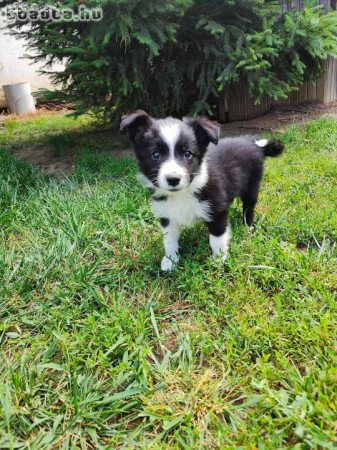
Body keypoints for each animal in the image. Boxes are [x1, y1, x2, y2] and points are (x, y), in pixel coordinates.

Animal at [119, 110, 282, 270]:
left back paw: (248, 226)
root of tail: (252, 142)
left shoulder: (217, 210)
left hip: (252, 185)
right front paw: (170, 260)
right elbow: (169, 239)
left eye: (188, 153)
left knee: (249, 206)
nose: (173, 179)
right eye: (155, 154)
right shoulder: (166, 213)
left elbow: (217, 238)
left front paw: (219, 260)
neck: (183, 192)